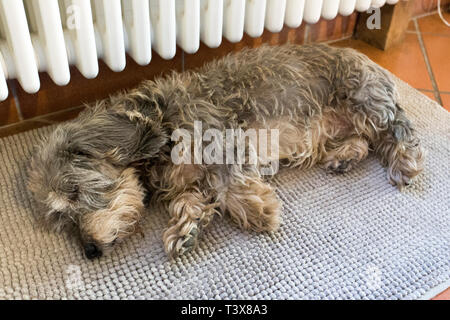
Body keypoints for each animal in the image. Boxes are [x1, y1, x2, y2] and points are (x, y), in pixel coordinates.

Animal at [26, 43, 424, 258]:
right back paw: (344, 156)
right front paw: (186, 230)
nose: (90, 251)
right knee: (365, 141)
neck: (160, 125)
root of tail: (373, 64)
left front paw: (258, 209)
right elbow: (188, 201)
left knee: (398, 130)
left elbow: (230, 183)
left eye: (75, 192)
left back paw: (405, 161)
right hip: (342, 125)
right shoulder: (188, 183)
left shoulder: (223, 139)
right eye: (62, 219)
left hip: (365, 102)